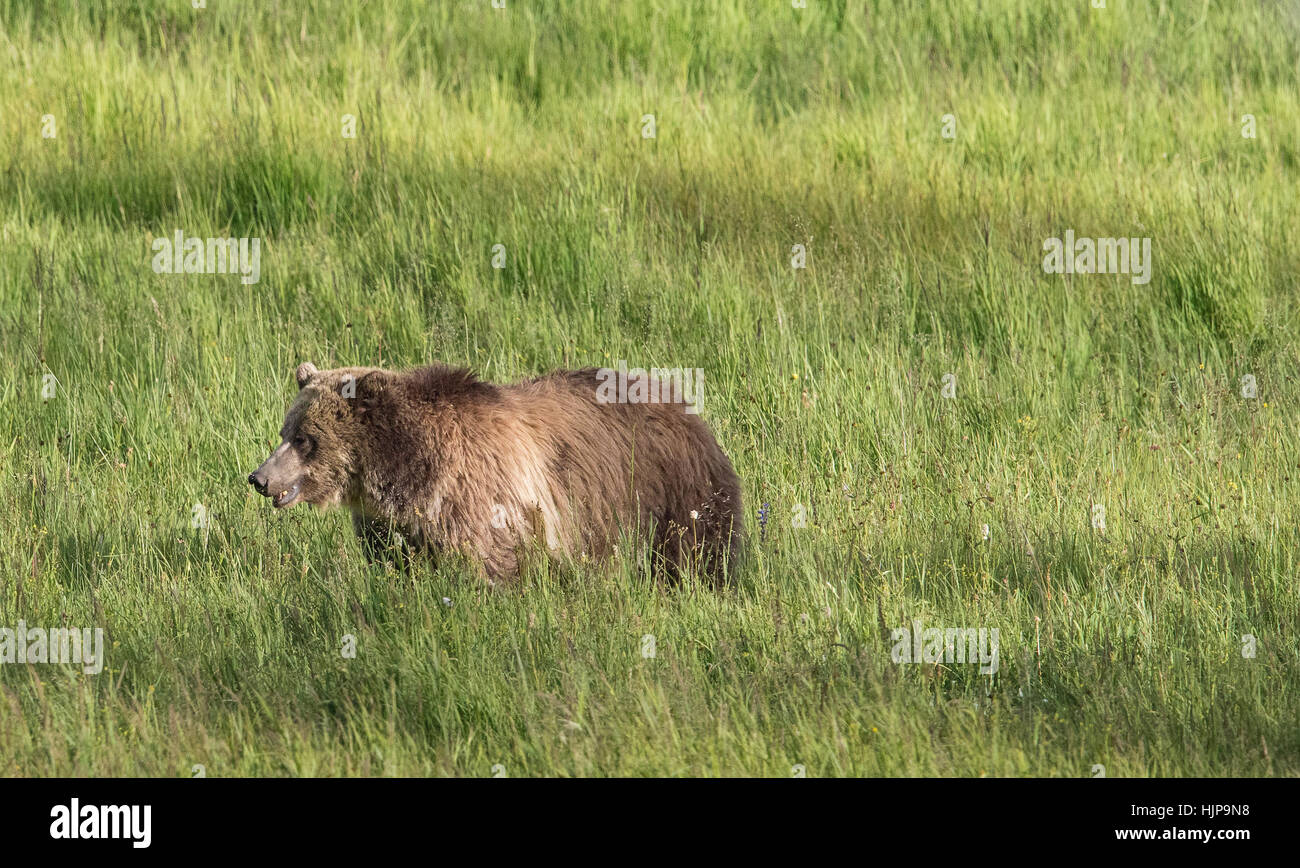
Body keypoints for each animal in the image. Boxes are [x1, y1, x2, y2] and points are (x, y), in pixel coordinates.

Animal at [248, 362, 744, 584]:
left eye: (304, 438)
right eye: (285, 430)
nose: (259, 478)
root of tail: (685, 406)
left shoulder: (480, 502)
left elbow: (492, 568)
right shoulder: (392, 526)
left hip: (670, 491)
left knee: (694, 552)